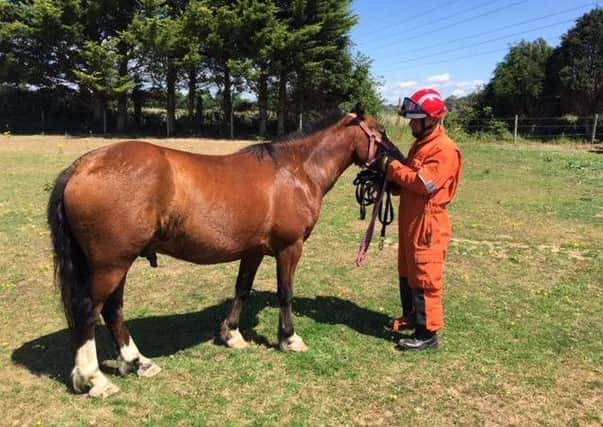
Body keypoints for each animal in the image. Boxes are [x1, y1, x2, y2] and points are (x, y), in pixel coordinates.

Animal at [48, 105, 396, 400]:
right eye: (380, 132)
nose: (397, 167)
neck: (293, 171)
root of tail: (82, 166)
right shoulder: (290, 248)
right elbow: (285, 293)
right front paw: (289, 339)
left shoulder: (253, 251)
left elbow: (242, 289)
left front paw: (232, 335)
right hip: (111, 264)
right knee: (89, 311)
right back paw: (94, 379)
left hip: (116, 264)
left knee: (113, 310)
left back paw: (137, 363)